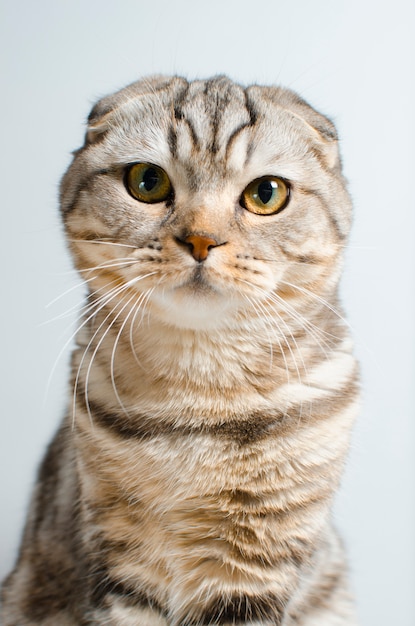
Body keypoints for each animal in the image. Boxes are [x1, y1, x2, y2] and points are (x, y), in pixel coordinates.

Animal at [1, 75, 360, 620]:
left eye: (267, 193)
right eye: (148, 182)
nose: (201, 240)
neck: (200, 402)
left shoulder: (258, 555)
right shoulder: (121, 556)